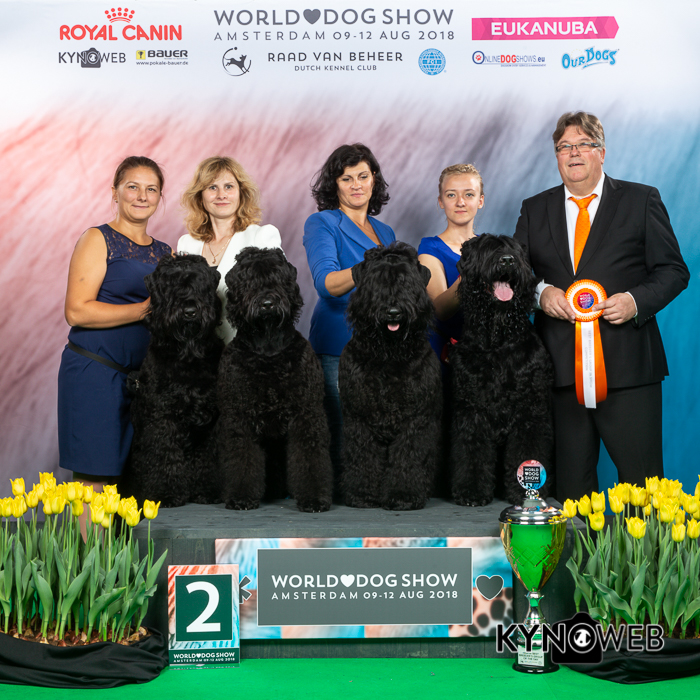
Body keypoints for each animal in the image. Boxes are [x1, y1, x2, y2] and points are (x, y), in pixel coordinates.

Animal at [124, 254, 224, 507]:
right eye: (170, 286)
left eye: (201, 284)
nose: (189, 311)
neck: (187, 358)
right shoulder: (162, 416)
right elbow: (164, 454)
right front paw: (165, 493)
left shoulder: (211, 419)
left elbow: (209, 456)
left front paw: (207, 491)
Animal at [218, 247, 332, 512]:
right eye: (249, 280)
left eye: (278, 279)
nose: (267, 303)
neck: (268, 348)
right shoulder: (240, 415)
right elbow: (242, 456)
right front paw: (241, 496)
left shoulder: (306, 412)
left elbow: (309, 455)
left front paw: (314, 498)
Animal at [339, 242, 442, 510]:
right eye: (376, 281)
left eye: (408, 282)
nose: (394, 312)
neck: (389, 355)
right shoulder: (359, 416)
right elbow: (362, 456)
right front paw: (362, 494)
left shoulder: (415, 418)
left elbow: (408, 456)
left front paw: (403, 495)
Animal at [449, 234, 554, 506]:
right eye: (488, 249)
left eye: (514, 250)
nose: (507, 261)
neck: (497, 339)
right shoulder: (471, 409)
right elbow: (472, 449)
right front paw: (471, 491)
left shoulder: (529, 410)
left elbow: (527, 448)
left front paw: (524, 491)